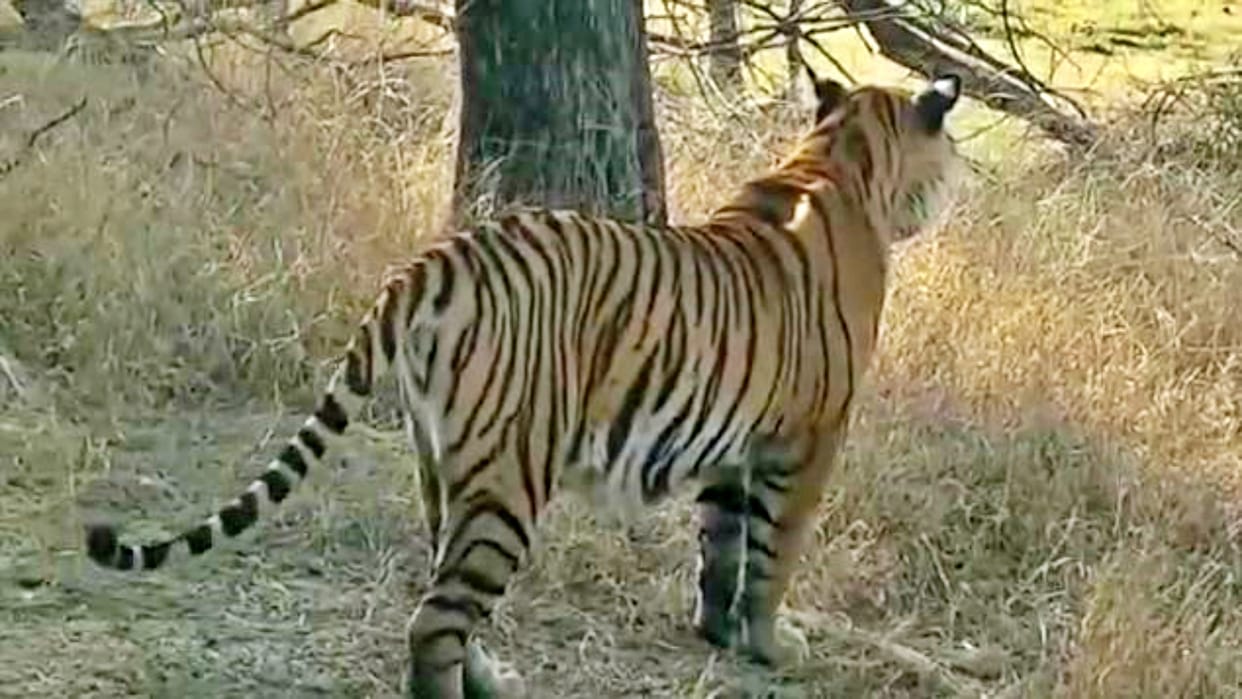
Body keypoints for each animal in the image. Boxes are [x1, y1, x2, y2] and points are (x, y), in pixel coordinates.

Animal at [85, 71, 963, 698]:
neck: (836, 159)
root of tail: (431, 263)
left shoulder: (733, 437)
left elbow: (720, 542)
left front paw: (718, 631)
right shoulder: (810, 433)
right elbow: (774, 550)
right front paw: (771, 644)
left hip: (442, 462)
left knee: (445, 589)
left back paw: (491, 678)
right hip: (512, 470)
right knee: (434, 620)